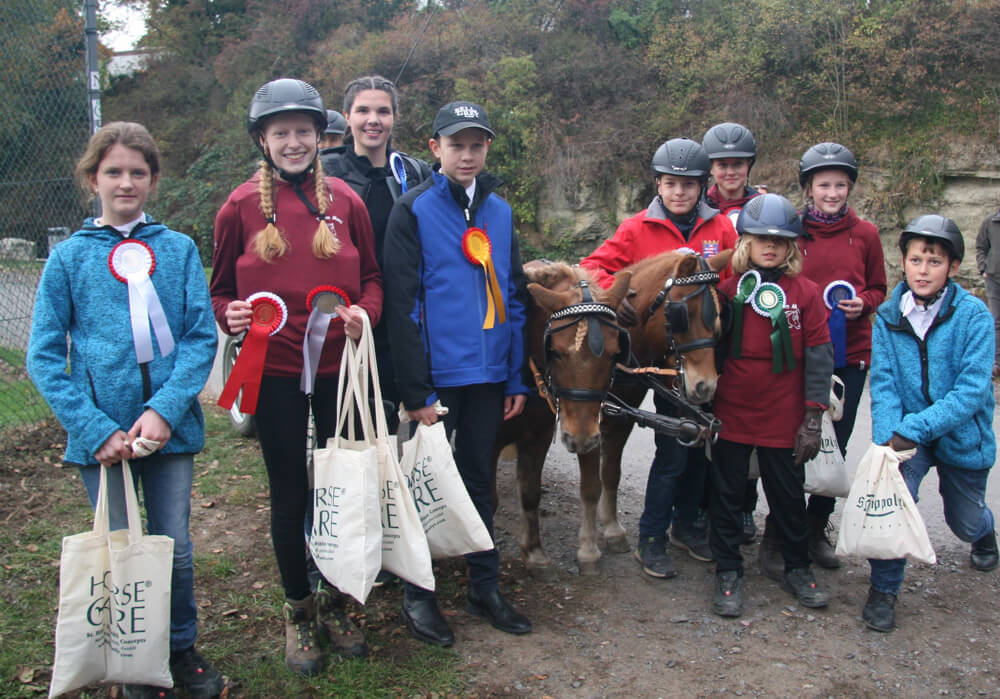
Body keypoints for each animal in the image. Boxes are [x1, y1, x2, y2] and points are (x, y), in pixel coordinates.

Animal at [496, 249, 732, 576]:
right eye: (683, 315)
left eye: (717, 316)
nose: (705, 386)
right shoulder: (587, 424)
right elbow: (590, 486)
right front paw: (588, 549)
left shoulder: (619, 423)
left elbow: (611, 475)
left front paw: (611, 529)